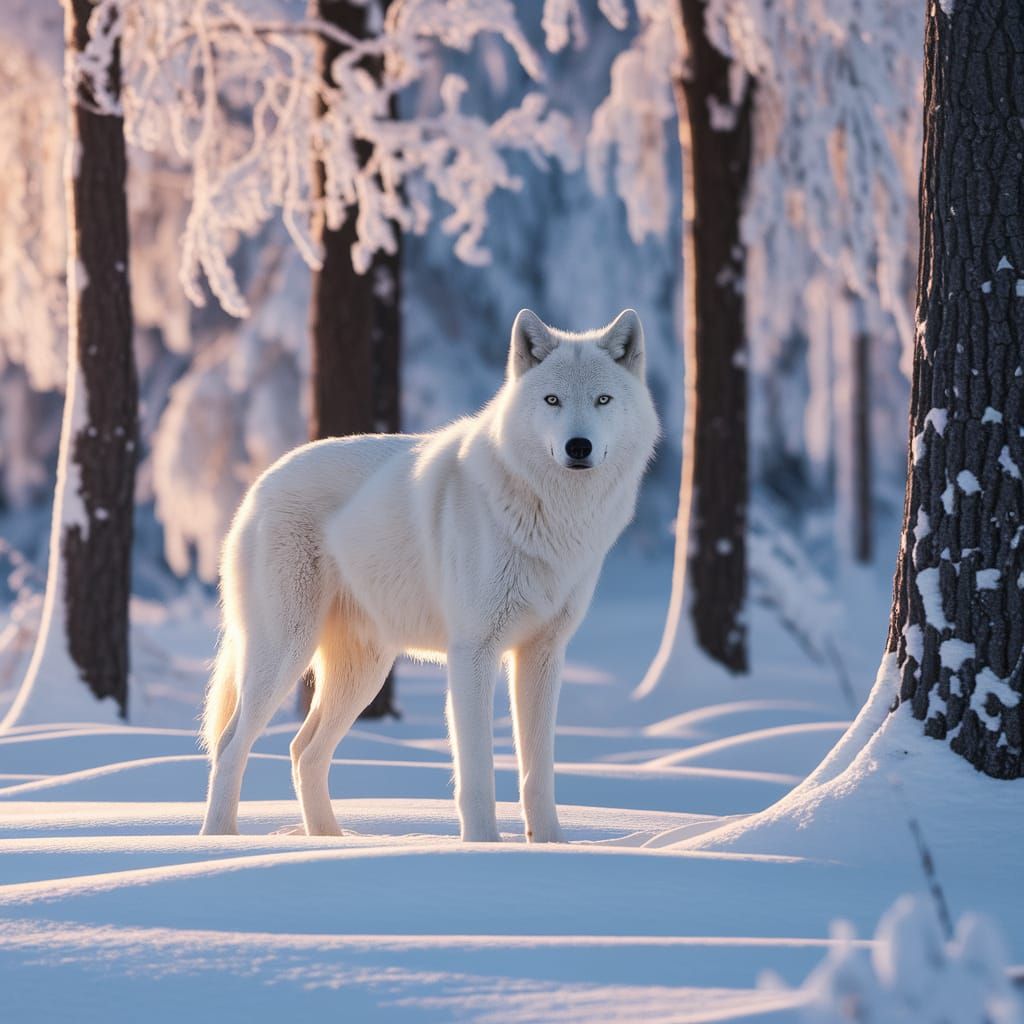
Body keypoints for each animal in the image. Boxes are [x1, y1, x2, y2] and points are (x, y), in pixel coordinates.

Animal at [200, 308, 659, 842]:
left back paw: (330, 840)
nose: (578, 446)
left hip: (362, 675)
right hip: (285, 653)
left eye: (603, 399)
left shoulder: (543, 654)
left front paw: (550, 845)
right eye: (552, 400)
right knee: (231, 743)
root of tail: (258, 486)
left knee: (302, 751)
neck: (555, 517)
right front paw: (482, 845)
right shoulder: (473, 653)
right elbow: (477, 771)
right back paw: (218, 840)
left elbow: (537, 772)